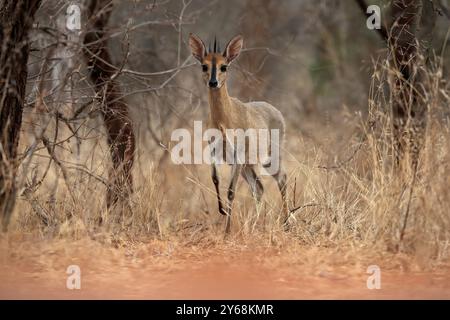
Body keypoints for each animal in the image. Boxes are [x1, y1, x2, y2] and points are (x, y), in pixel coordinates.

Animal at [187, 33, 286, 232]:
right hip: (248, 167)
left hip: (268, 159)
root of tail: (276, 111)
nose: (213, 82)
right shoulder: (215, 152)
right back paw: (256, 225)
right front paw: (222, 211)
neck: (224, 121)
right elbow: (215, 179)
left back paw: (287, 223)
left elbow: (231, 192)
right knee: (259, 188)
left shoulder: (237, 156)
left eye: (224, 66)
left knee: (282, 180)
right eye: (204, 65)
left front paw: (227, 230)